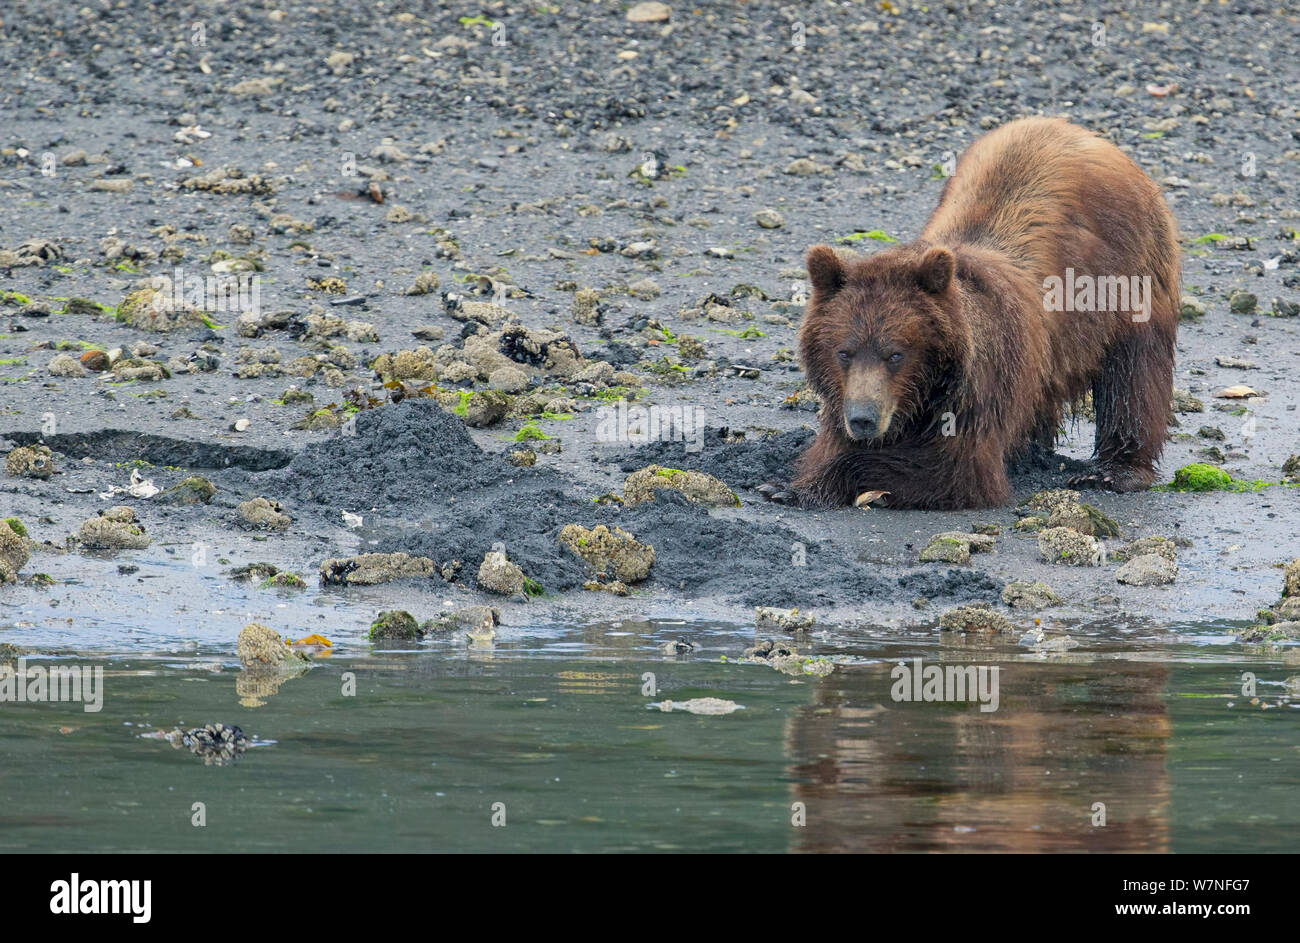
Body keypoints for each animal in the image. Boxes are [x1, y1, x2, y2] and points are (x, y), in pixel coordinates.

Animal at [764, 117, 1185, 507]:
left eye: (895, 354)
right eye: (844, 352)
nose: (863, 418)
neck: (925, 393)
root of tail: (1088, 135)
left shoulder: (978, 390)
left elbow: (954, 468)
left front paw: (803, 485)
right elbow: (835, 443)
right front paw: (791, 480)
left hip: (1131, 275)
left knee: (1134, 373)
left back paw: (1115, 470)